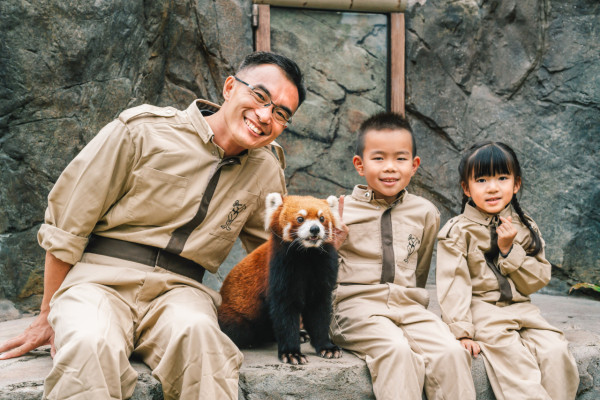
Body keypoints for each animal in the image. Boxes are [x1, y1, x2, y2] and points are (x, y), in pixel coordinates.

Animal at [219, 192, 342, 364]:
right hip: (235, 316)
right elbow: (285, 311)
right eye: (300, 218)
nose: (315, 229)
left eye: (322, 218)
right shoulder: (280, 269)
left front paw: (327, 347)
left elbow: (319, 310)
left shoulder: (323, 268)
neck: (307, 254)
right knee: (241, 330)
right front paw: (292, 353)